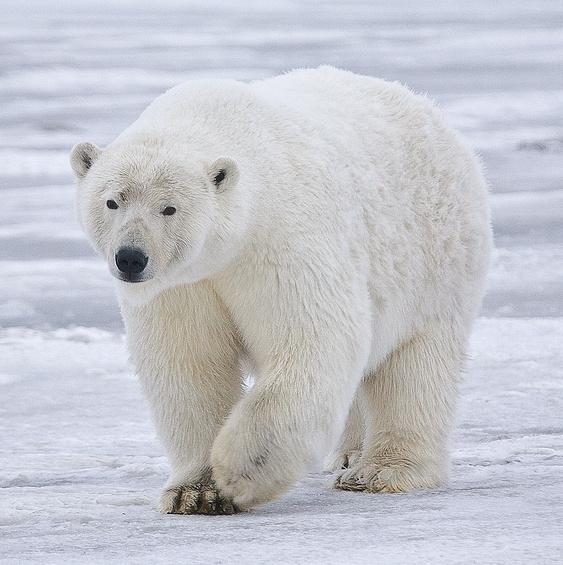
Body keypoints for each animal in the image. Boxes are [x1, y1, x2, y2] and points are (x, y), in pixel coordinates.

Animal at [71, 65, 494, 512]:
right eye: (112, 201)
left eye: (169, 208)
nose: (131, 258)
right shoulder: (182, 285)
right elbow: (189, 364)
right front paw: (195, 492)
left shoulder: (280, 240)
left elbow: (312, 339)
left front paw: (239, 472)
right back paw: (348, 455)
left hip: (435, 260)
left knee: (415, 366)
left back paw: (381, 471)